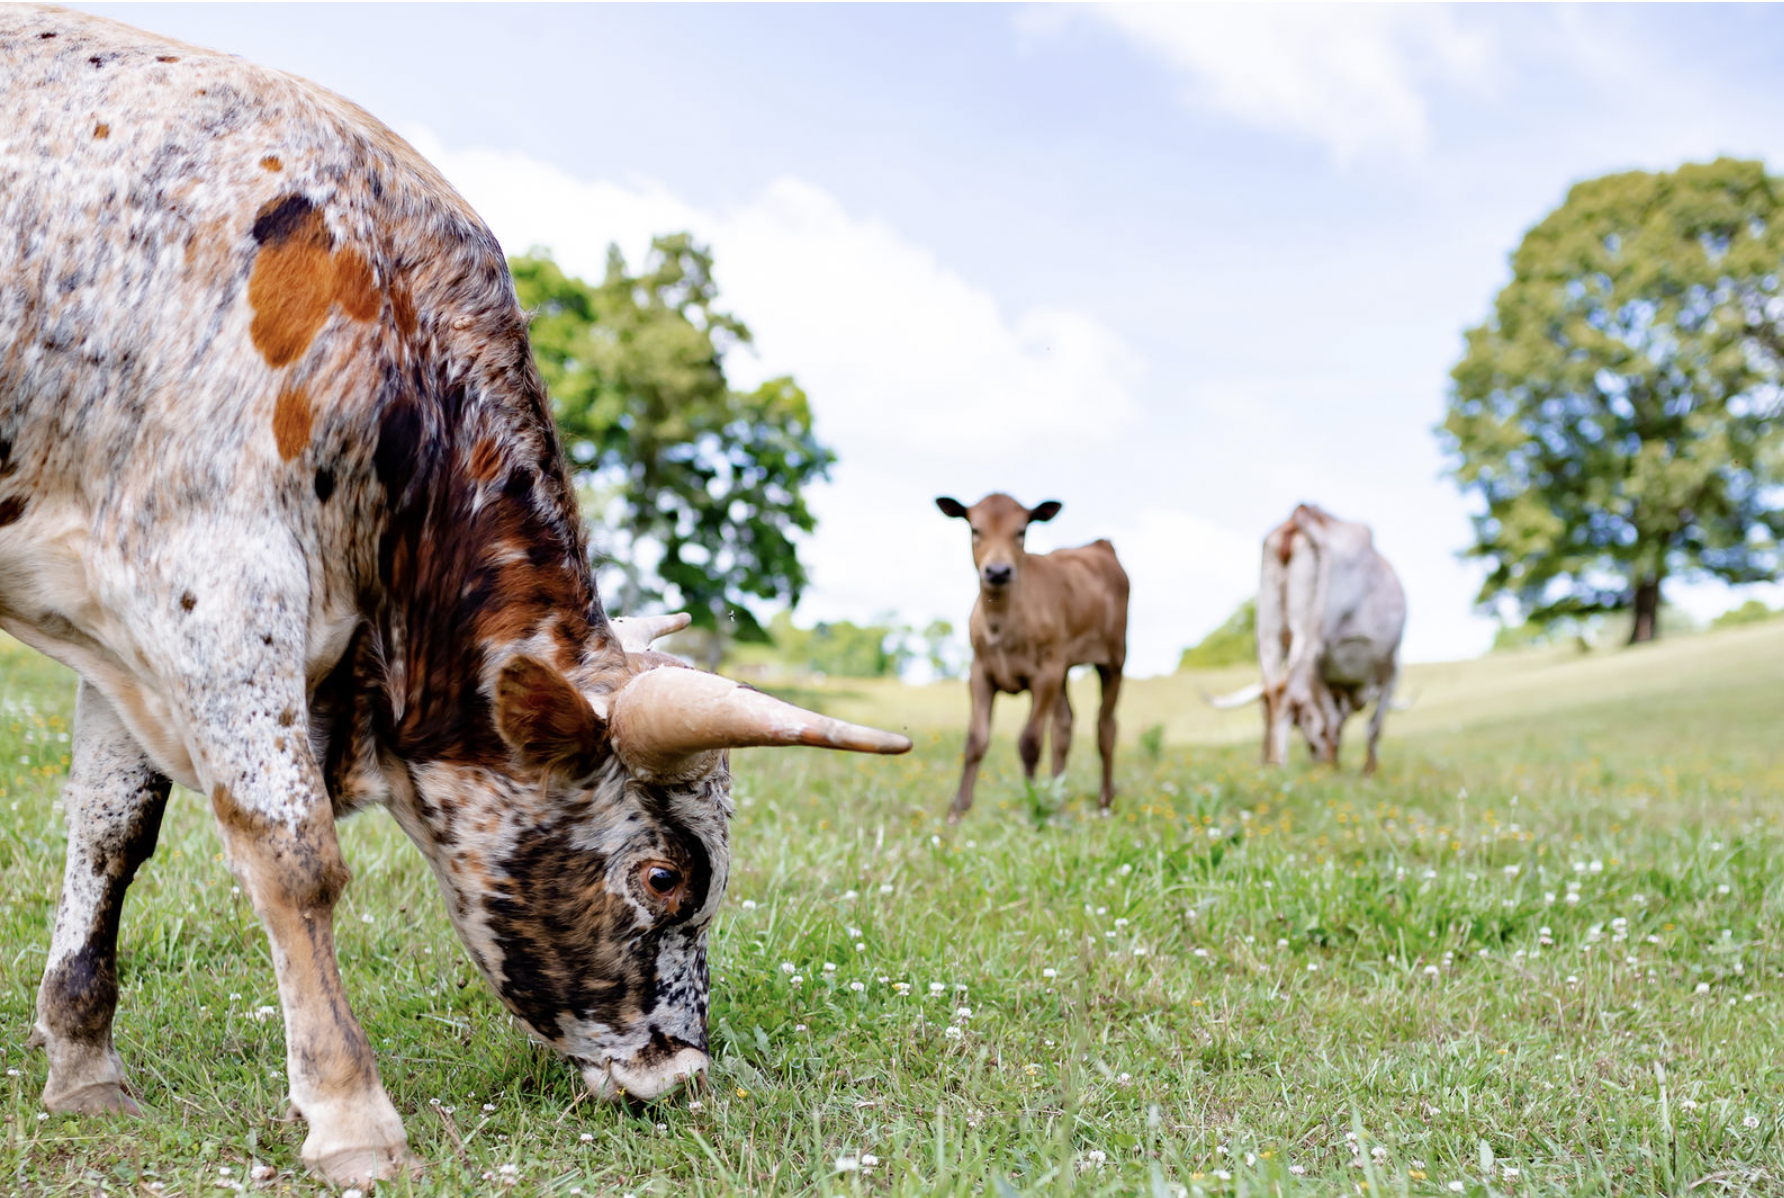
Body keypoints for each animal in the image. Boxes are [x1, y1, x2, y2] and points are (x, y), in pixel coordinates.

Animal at [0, 8, 910, 1184]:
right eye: (665, 876)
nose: (680, 1074)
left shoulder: (123, 611)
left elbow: (112, 833)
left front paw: (83, 1067)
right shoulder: (216, 580)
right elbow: (294, 856)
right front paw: (352, 1116)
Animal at [934, 494, 1128, 821]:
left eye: (1021, 531)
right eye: (975, 529)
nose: (998, 571)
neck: (1002, 623)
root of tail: (1100, 545)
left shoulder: (1045, 673)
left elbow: (1030, 743)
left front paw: (1032, 804)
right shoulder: (980, 671)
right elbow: (975, 740)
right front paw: (957, 812)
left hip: (1113, 658)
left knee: (1106, 727)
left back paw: (1105, 803)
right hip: (1063, 668)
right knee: (1064, 726)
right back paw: (1058, 799)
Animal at [1218, 504, 1405, 775]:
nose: (1317, 758)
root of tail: (1298, 519)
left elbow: (1335, 720)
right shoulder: (1391, 667)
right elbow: (1371, 725)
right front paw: (1366, 771)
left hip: (1268, 632)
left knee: (1271, 692)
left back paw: (1269, 763)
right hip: (1309, 635)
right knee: (1286, 694)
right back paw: (1280, 764)